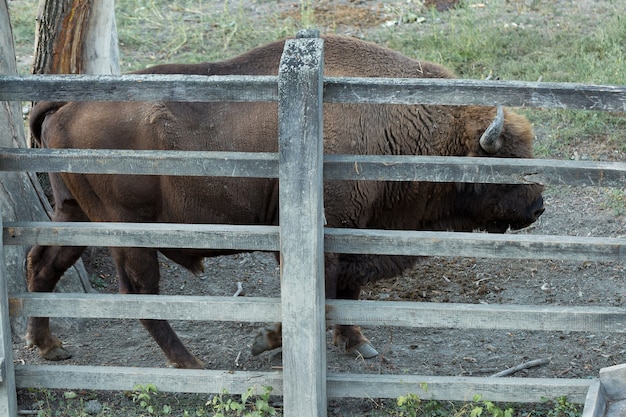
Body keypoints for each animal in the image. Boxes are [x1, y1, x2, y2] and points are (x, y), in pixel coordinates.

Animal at [25, 35, 540, 368]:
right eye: (505, 163)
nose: (538, 208)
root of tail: (67, 103)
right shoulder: (325, 236)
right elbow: (323, 292)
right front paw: (269, 340)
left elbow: (346, 292)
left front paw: (357, 343)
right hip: (129, 232)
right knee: (138, 291)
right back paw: (190, 364)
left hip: (74, 213)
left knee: (44, 263)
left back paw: (50, 346)